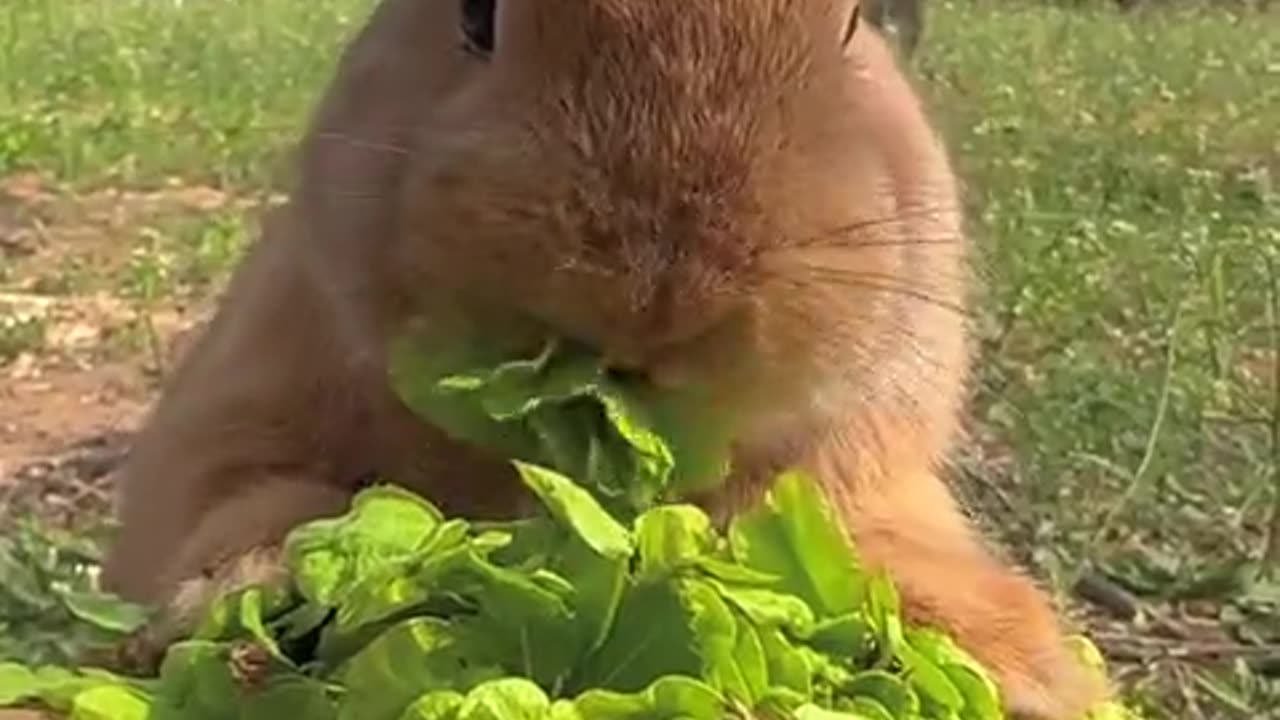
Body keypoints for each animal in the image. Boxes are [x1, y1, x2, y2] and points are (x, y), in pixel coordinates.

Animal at [102, 2, 1111, 712]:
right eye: (475, 13)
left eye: (857, 21)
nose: (659, 287)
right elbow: (257, 504)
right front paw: (250, 598)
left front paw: (1025, 674)